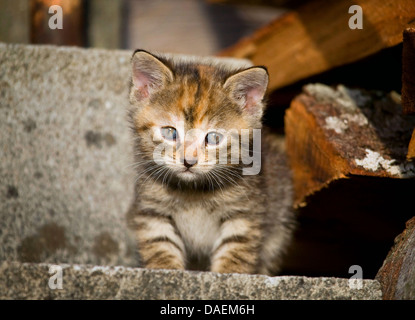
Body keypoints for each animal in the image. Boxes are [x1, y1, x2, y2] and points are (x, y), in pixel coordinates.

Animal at [127, 50, 296, 276]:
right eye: (170, 132)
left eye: (213, 138)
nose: (188, 161)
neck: (193, 192)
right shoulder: (152, 209)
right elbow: (160, 245)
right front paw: (164, 271)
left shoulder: (244, 213)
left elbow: (235, 251)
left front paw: (229, 274)